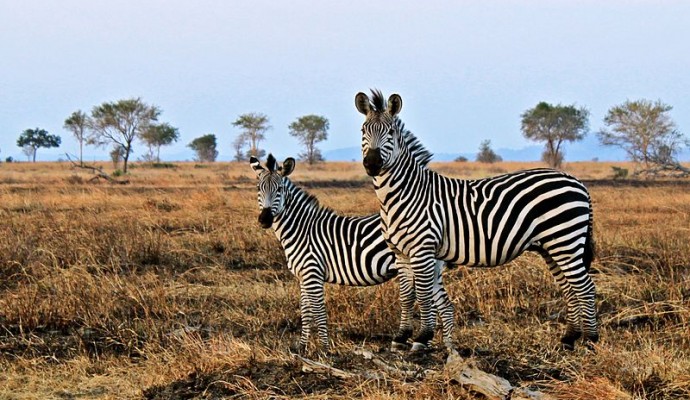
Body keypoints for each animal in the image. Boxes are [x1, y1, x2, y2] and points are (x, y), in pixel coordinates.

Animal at [250, 154, 451, 352]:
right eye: (259, 189)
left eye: (279, 189)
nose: (265, 220)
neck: (302, 229)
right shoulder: (303, 276)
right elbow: (305, 311)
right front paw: (301, 347)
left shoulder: (313, 273)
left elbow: (318, 311)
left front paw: (324, 348)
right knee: (444, 306)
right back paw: (443, 349)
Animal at [355, 90, 598, 352]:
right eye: (363, 130)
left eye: (390, 132)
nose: (372, 164)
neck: (402, 195)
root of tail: (577, 181)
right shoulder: (400, 253)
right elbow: (406, 295)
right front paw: (401, 336)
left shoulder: (423, 249)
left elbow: (423, 294)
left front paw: (422, 337)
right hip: (552, 247)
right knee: (569, 288)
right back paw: (569, 338)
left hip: (566, 241)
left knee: (585, 287)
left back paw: (591, 340)